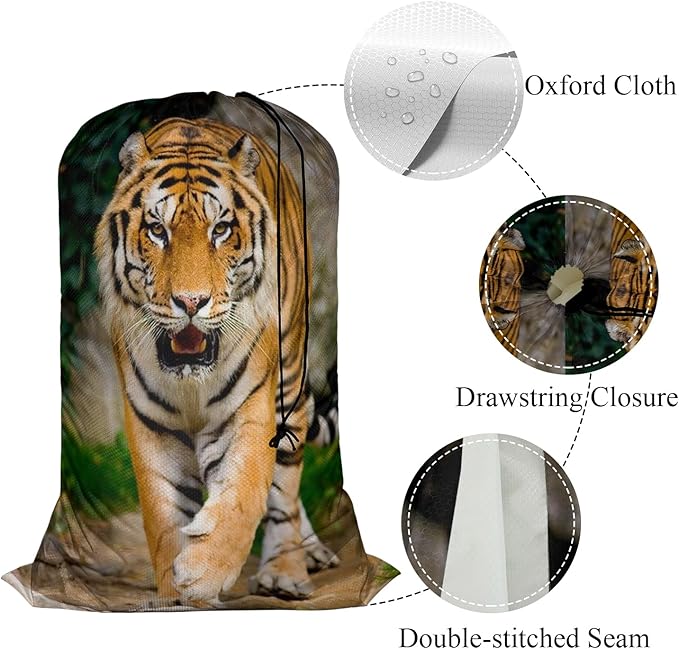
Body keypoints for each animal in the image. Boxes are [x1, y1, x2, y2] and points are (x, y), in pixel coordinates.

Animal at [94, 117, 337, 606]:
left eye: (221, 229)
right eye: (157, 230)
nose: (191, 302)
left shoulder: (250, 408)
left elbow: (243, 495)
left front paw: (204, 572)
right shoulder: (152, 424)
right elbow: (164, 513)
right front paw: (177, 591)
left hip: (288, 379)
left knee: (285, 486)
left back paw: (286, 572)